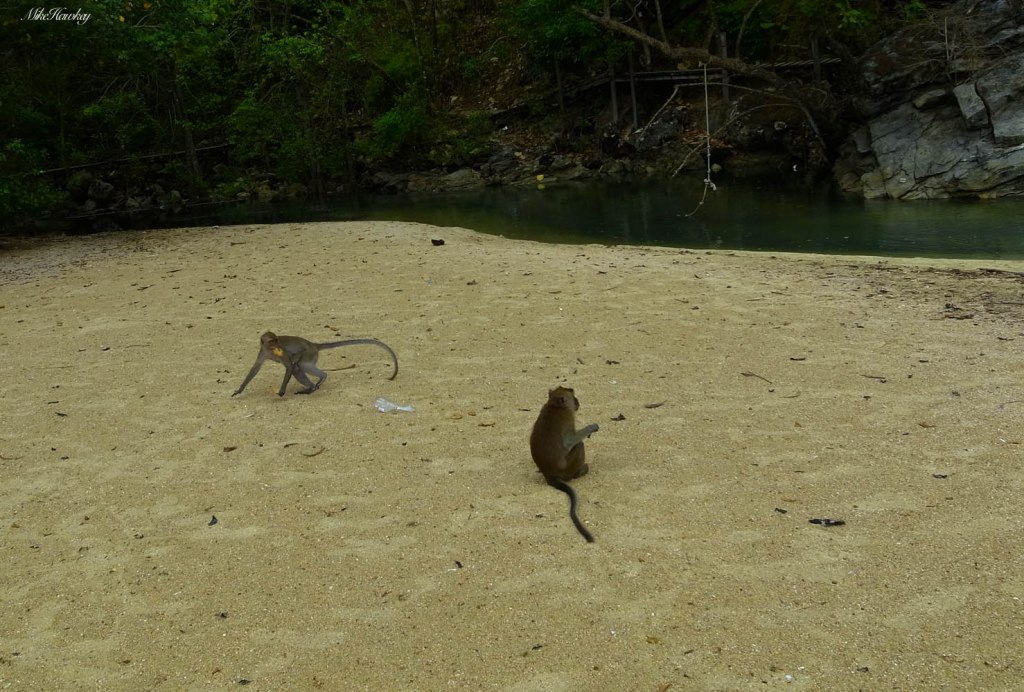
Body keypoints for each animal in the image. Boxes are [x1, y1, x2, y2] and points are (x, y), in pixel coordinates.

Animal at [232, 331, 398, 397]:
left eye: (277, 340)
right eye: (272, 341)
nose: (278, 344)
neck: (271, 351)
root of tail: (313, 344)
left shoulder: (284, 353)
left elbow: (290, 365)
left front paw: (282, 390)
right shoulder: (262, 352)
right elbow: (254, 369)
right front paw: (240, 389)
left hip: (309, 354)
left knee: (299, 366)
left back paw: (316, 383)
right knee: (299, 368)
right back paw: (313, 385)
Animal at [529, 386, 600, 542]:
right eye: (573, 397)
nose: (578, 402)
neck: (554, 405)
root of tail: (550, 475)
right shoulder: (568, 419)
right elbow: (570, 441)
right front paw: (591, 427)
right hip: (569, 468)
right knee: (579, 445)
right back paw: (581, 471)